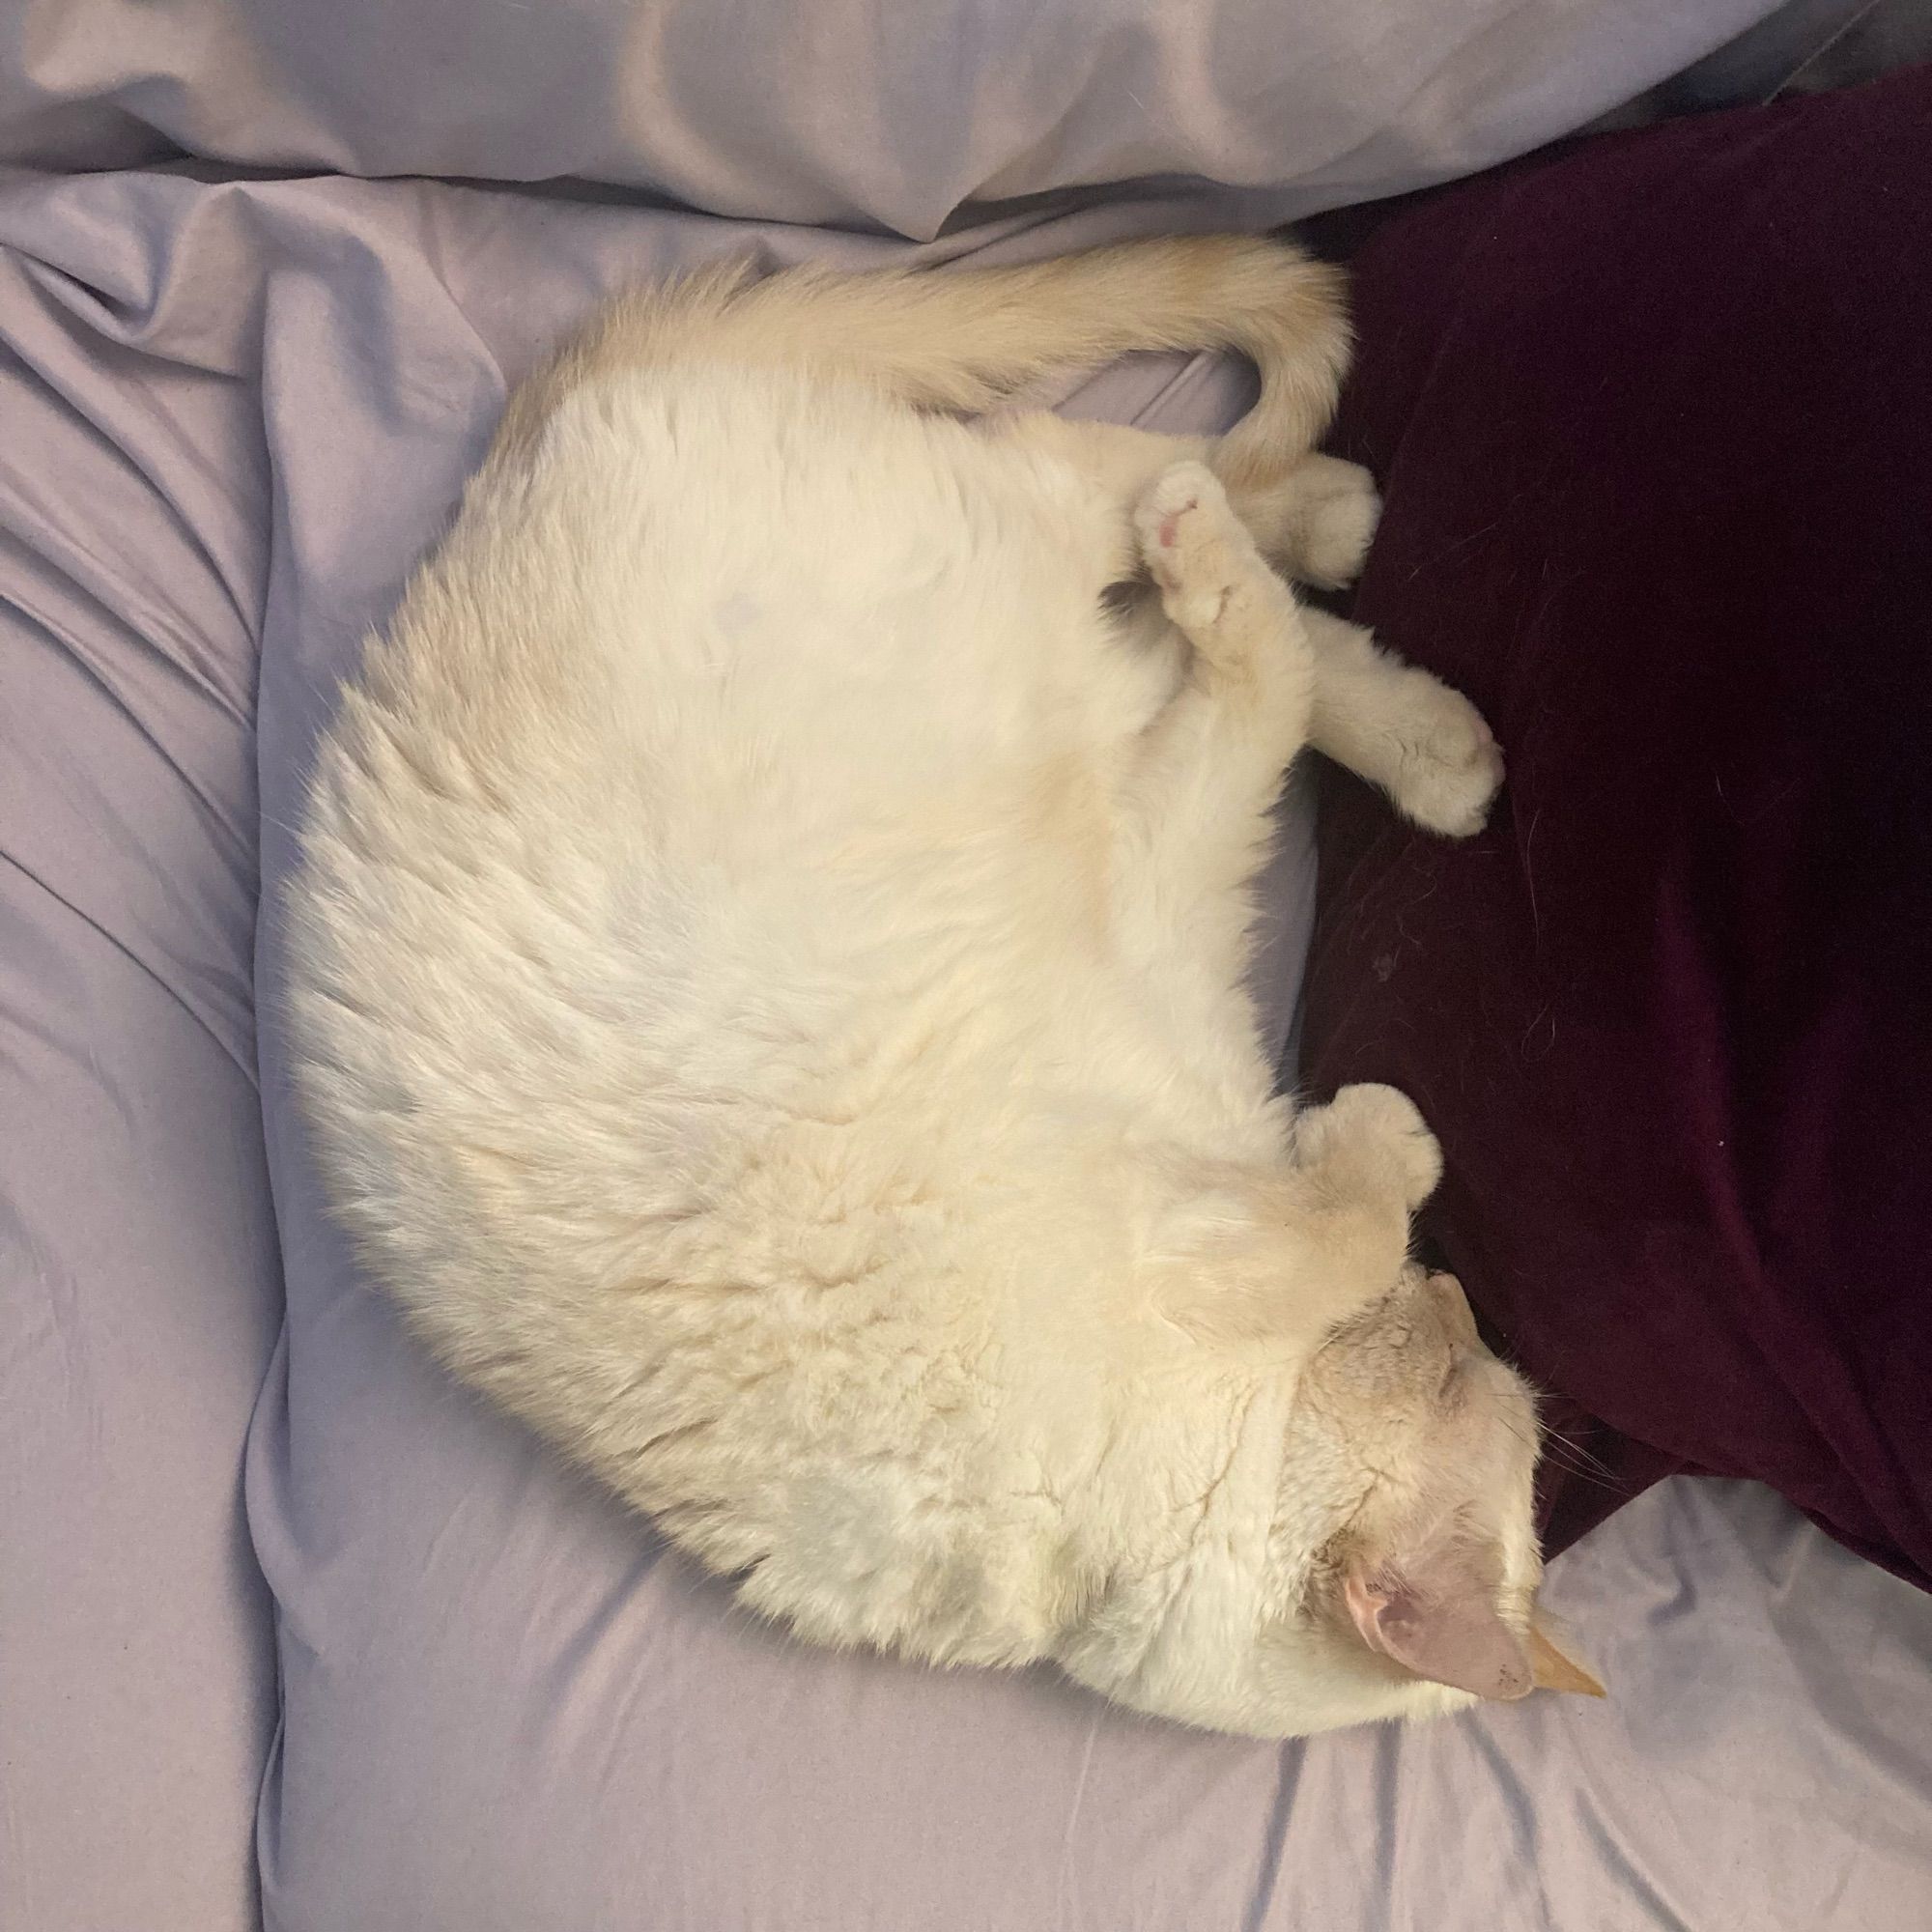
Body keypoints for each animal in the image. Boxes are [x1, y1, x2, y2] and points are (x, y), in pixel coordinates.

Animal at [290, 238, 1600, 1739]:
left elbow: (1254, 706)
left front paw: (1382, 1147)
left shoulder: (1162, 886)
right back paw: (1302, 530)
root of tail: (501, 468)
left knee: (1165, 570)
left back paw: (1395, 673)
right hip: (995, 582)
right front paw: (1389, 1144)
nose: (1452, 1298)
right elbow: (1354, 1208)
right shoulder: (1161, 963)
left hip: (1047, 662)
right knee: (1094, 478)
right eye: (1459, 1358)